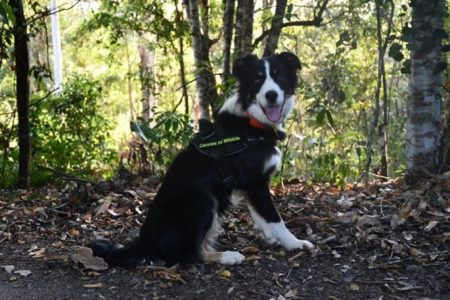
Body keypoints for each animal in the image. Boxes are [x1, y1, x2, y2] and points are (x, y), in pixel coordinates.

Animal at [92, 51, 312, 268]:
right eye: (257, 79)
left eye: (279, 76)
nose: (271, 95)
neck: (252, 123)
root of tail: (144, 242)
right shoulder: (255, 183)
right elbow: (275, 218)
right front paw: (294, 243)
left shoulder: (250, 187)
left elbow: (261, 217)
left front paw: (273, 239)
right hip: (202, 197)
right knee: (190, 254)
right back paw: (227, 256)